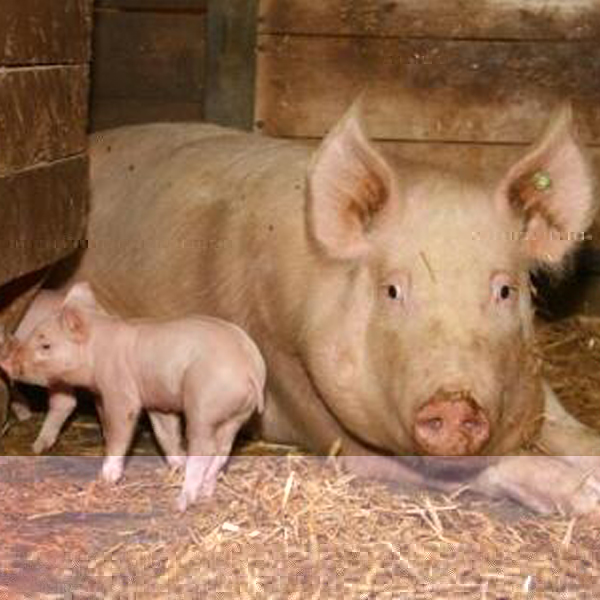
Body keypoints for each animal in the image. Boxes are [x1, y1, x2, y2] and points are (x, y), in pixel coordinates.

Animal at [1, 284, 266, 508]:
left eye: (45, 345)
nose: (6, 362)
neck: (97, 351)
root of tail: (250, 366)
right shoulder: (158, 400)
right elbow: (165, 434)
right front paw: (177, 465)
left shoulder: (119, 391)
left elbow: (119, 431)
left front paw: (106, 479)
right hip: (237, 414)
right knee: (223, 450)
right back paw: (205, 493)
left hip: (203, 404)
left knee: (204, 448)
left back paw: (181, 502)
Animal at [67, 104, 600, 516]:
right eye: (392, 290)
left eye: (505, 290)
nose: (454, 403)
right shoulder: (313, 409)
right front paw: (588, 497)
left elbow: (573, 431)